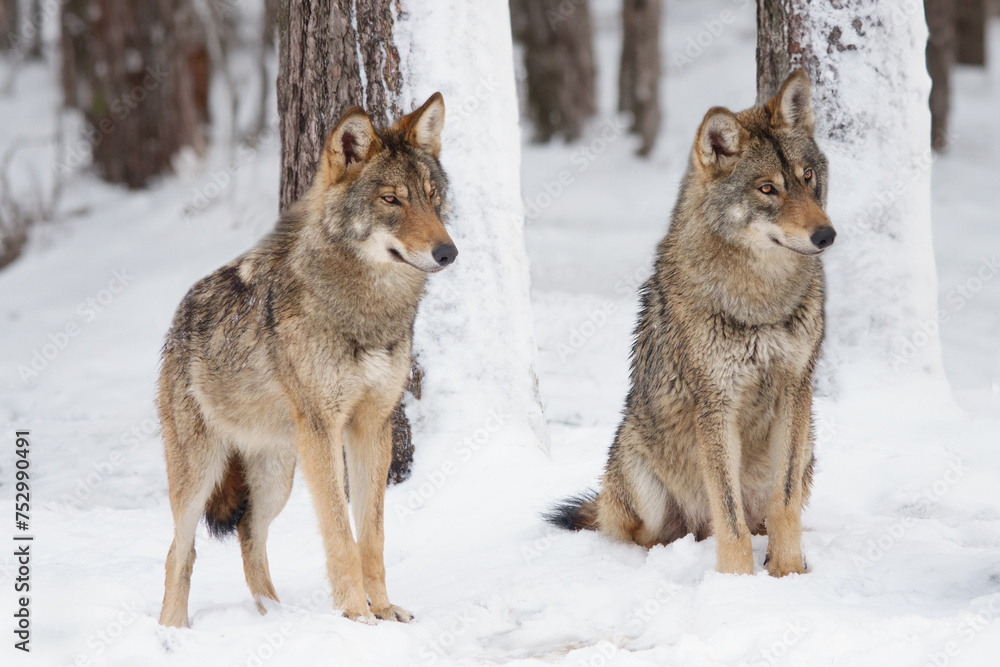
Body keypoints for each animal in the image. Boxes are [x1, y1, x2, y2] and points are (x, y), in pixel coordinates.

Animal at [157, 93, 456, 627]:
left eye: (431, 196)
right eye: (391, 200)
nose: (449, 252)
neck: (366, 312)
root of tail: (178, 318)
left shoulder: (372, 427)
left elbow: (372, 536)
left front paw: (383, 610)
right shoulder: (323, 429)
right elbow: (339, 533)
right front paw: (356, 616)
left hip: (278, 476)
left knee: (248, 534)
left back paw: (273, 615)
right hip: (201, 476)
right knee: (180, 550)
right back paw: (173, 631)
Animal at [547, 70, 835, 577]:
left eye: (806, 177)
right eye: (767, 189)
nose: (827, 235)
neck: (760, 299)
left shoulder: (796, 387)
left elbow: (782, 506)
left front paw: (788, 573)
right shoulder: (715, 403)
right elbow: (730, 518)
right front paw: (737, 584)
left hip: (809, 447)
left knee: (763, 514)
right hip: (638, 467)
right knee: (647, 533)